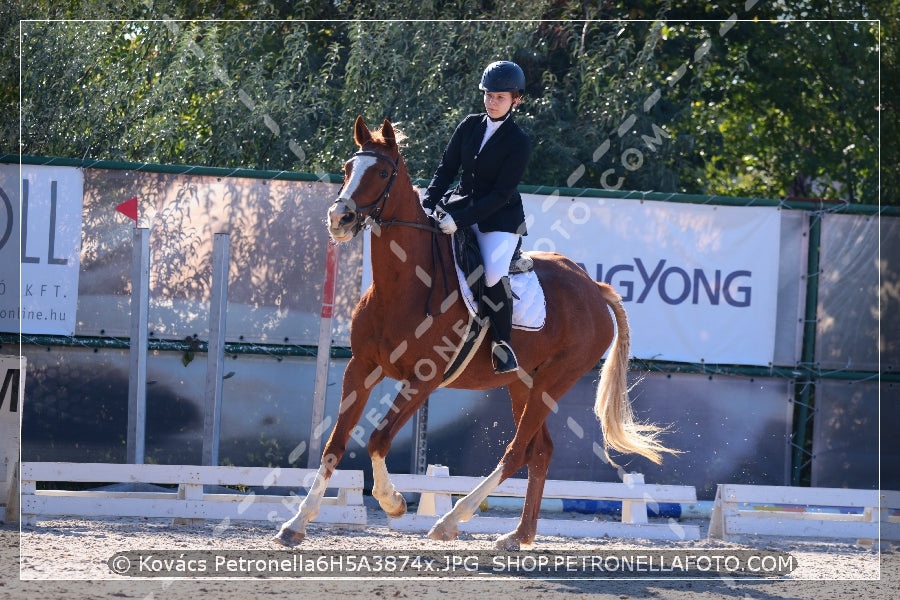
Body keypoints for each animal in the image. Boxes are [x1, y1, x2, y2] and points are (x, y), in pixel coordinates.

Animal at [274, 115, 676, 552]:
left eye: (381, 173)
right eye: (348, 168)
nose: (339, 220)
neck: (402, 285)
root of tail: (592, 287)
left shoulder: (423, 380)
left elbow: (379, 439)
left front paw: (394, 502)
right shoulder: (361, 368)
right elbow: (334, 444)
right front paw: (296, 523)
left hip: (554, 380)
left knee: (517, 451)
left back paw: (452, 520)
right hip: (522, 382)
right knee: (540, 450)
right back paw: (518, 536)